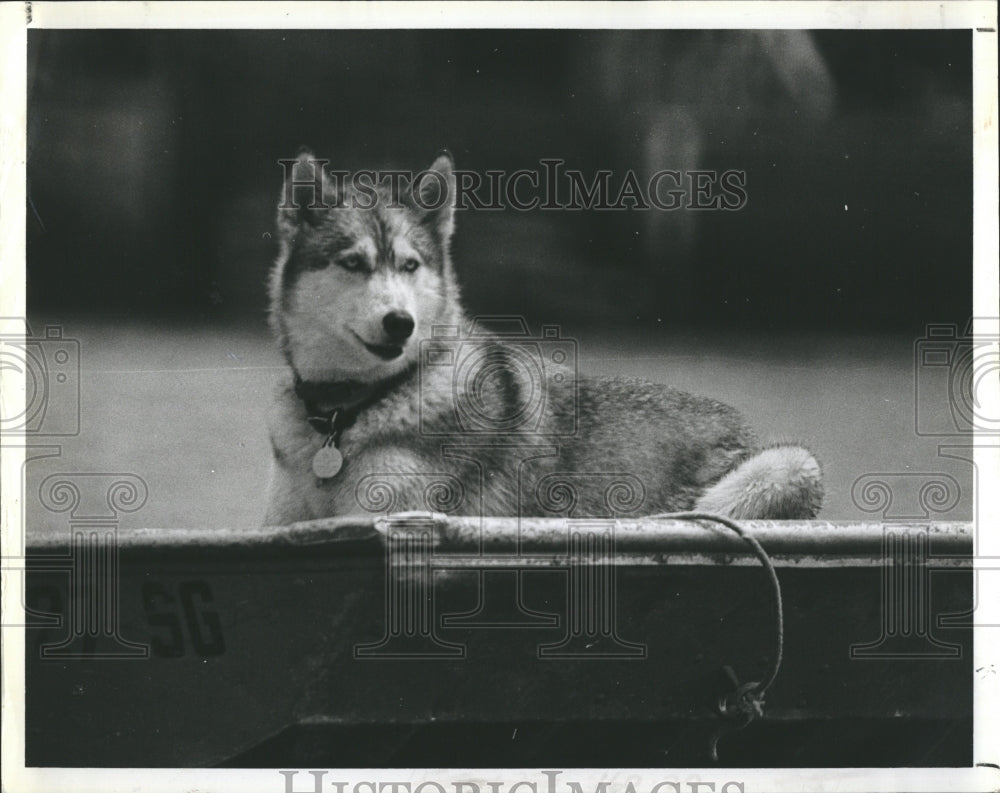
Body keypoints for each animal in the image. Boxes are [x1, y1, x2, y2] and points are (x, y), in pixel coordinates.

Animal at [264, 153, 820, 524]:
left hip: (789, 465)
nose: (401, 322)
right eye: (353, 263)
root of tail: (746, 429)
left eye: (409, 265)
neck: (345, 414)